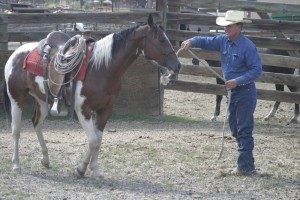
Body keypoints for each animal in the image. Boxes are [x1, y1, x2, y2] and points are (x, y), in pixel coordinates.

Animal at [3, 15, 180, 178]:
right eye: (161, 39)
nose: (177, 65)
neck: (101, 68)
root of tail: (16, 54)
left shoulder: (105, 109)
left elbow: (97, 140)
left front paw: (90, 169)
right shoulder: (83, 110)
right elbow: (93, 140)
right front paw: (84, 168)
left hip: (42, 100)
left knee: (36, 123)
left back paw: (45, 160)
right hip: (16, 98)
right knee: (16, 130)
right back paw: (16, 165)